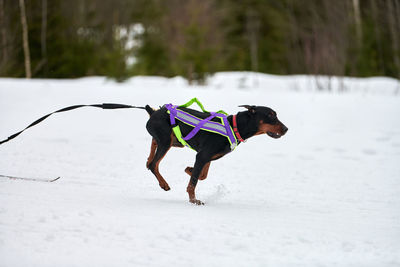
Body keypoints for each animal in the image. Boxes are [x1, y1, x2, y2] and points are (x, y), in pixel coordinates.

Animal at [144, 104, 288, 205]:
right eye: (270, 115)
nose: (286, 129)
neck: (234, 127)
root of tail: (153, 112)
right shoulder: (202, 156)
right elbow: (193, 182)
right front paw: (193, 200)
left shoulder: (206, 158)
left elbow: (202, 175)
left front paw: (189, 169)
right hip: (166, 141)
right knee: (154, 164)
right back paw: (163, 183)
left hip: (175, 140)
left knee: (153, 146)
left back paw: (148, 160)